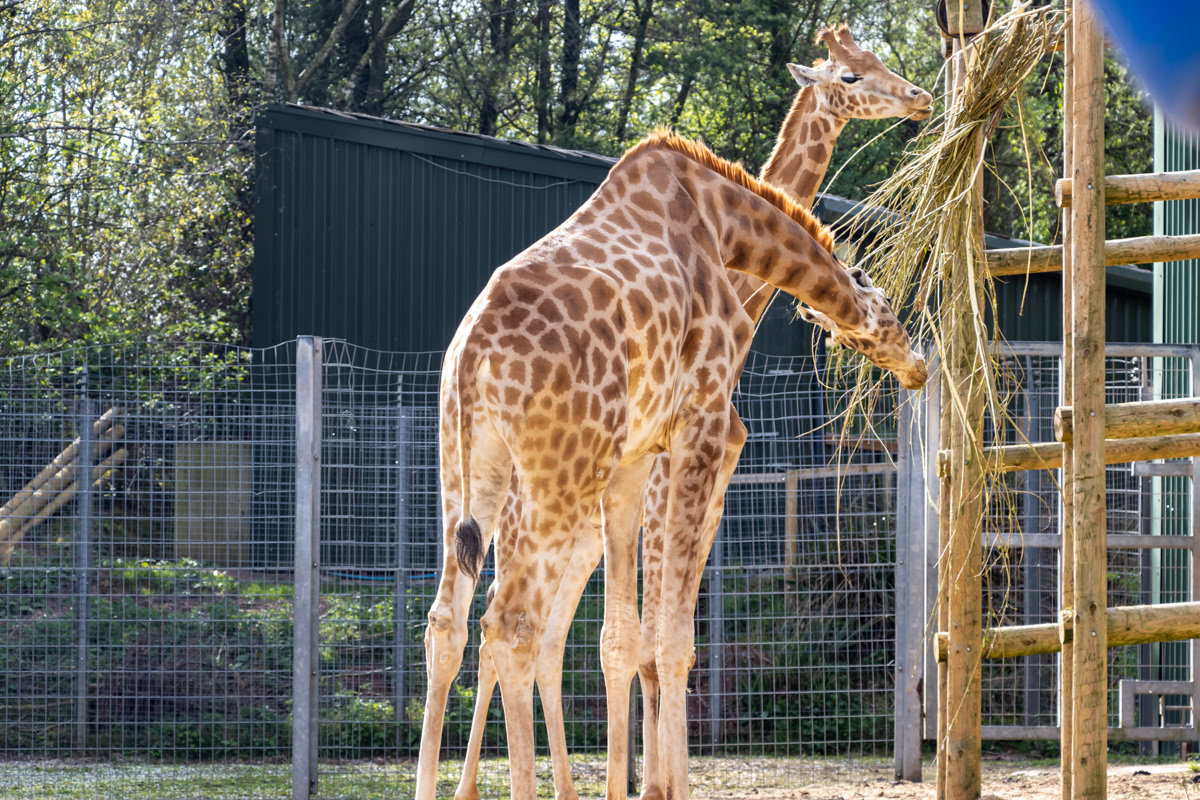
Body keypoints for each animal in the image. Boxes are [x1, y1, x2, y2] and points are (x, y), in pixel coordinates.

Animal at [450, 24, 934, 800]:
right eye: (851, 77)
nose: (919, 97)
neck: (731, 240)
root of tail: (469, 358)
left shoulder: (650, 470)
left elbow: (630, 641)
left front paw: (644, 782)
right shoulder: (698, 446)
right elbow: (665, 641)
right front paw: (658, 786)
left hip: (484, 486)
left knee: (468, 625)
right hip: (552, 497)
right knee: (514, 627)